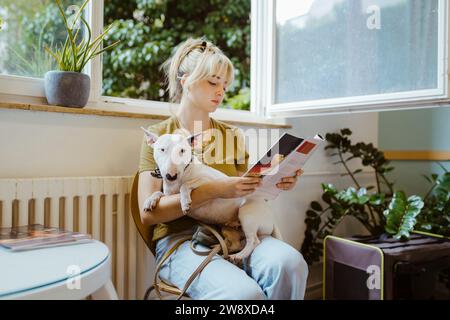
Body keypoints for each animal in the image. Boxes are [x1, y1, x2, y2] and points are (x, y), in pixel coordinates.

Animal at [142, 127, 282, 262]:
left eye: (182, 150)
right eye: (162, 149)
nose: (171, 176)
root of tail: (272, 219)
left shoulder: (210, 180)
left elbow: (185, 185)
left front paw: (185, 202)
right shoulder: (168, 195)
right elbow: (159, 192)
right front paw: (150, 200)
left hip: (247, 213)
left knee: (253, 241)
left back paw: (239, 255)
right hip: (227, 228)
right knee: (237, 243)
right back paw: (222, 249)